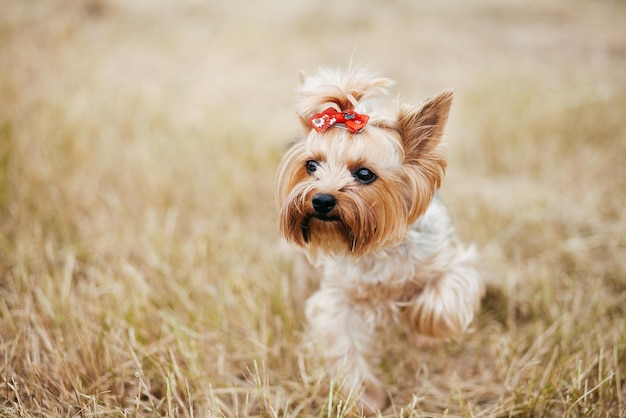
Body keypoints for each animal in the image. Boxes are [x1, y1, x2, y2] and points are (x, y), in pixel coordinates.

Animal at [272, 67, 482, 414]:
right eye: (311, 165)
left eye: (365, 174)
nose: (321, 200)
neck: (377, 247)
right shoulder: (338, 301)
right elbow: (345, 348)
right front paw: (367, 400)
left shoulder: (451, 261)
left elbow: (440, 301)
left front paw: (421, 326)